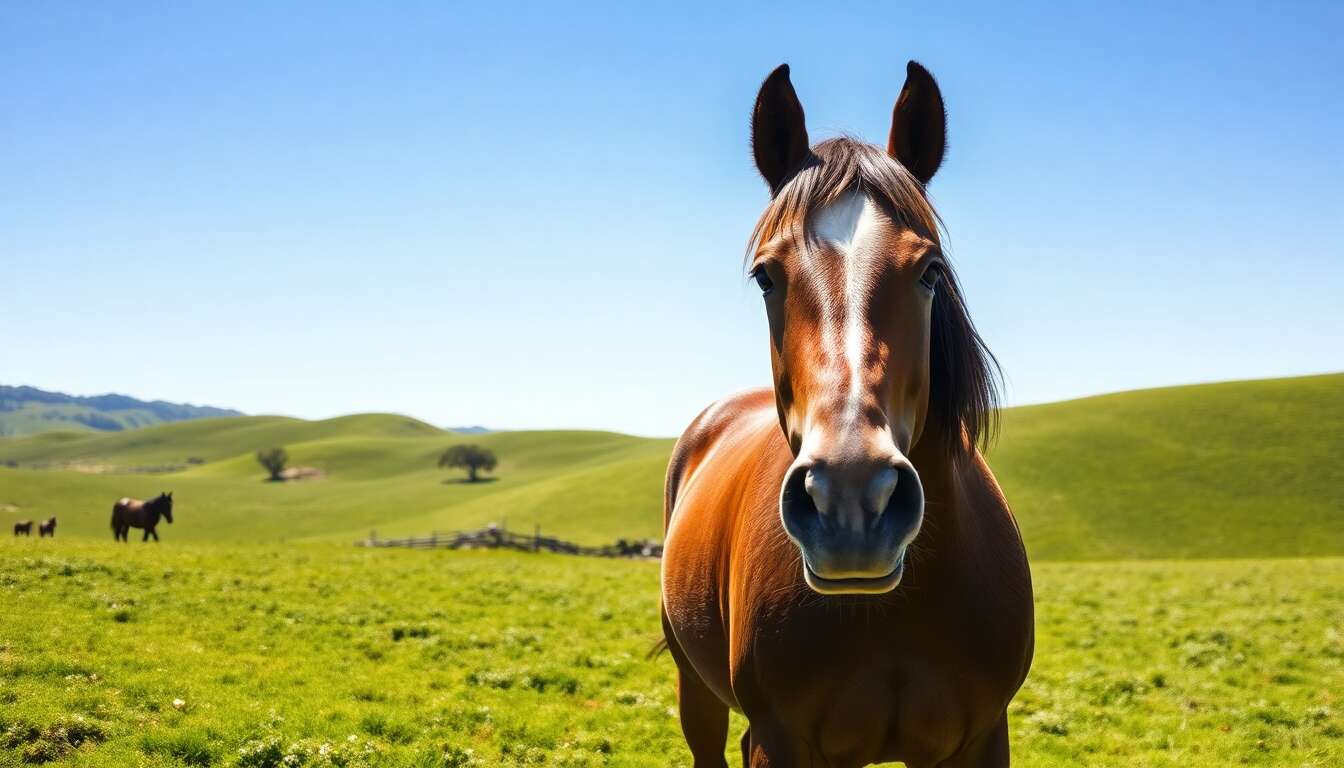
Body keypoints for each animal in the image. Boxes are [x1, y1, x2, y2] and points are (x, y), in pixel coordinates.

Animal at [660, 63, 1034, 767]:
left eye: (930, 270)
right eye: (765, 276)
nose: (852, 499)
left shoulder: (979, 739)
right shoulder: (778, 740)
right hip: (693, 685)